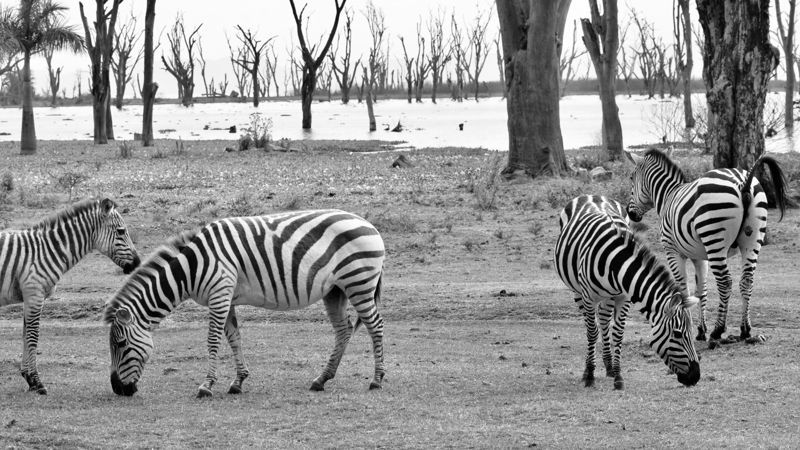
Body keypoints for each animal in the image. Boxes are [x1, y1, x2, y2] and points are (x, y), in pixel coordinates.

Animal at [0, 198, 140, 394]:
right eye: (121, 231)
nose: (137, 263)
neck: (46, 251)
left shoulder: (29, 298)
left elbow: (25, 336)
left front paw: (29, 379)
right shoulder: (35, 295)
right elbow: (33, 337)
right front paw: (37, 382)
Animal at [104, 209, 385, 398]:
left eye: (120, 344)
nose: (118, 389)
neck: (191, 267)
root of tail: (368, 224)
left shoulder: (219, 293)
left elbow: (213, 340)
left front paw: (206, 385)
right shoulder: (225, 297)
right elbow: (234, 338)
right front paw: (238, 382)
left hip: (359, 282)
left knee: (376, 326)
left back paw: (377, 379)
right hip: (335, 290)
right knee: (344, 330)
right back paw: (321, 379)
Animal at [554, 194, 701, 389]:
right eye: (677, 334)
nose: (695, 377)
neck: (615, 263)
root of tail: (591, 195)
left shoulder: (624, 297)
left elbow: (617, 333)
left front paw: (618, 376)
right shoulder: (589, 296)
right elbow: (592, 332)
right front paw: (590, 375)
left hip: (609, 296)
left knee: (603, 320)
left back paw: (608, 365)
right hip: (578, 291)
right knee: (591, 326)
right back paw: (588, 368)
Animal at [627, 149, 788, 342]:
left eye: (631, 177)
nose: (630, 213)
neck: (668, 196)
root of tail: (744, 181)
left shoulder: (672, 251)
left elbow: (683, 290)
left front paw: (689, 326)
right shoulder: (699, 256)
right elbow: (700, 291)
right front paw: (700, 330)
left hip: (714, 239)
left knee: (725, 282)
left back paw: (718, 330)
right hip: (753, 240)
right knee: (747, 280)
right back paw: (745, 329)